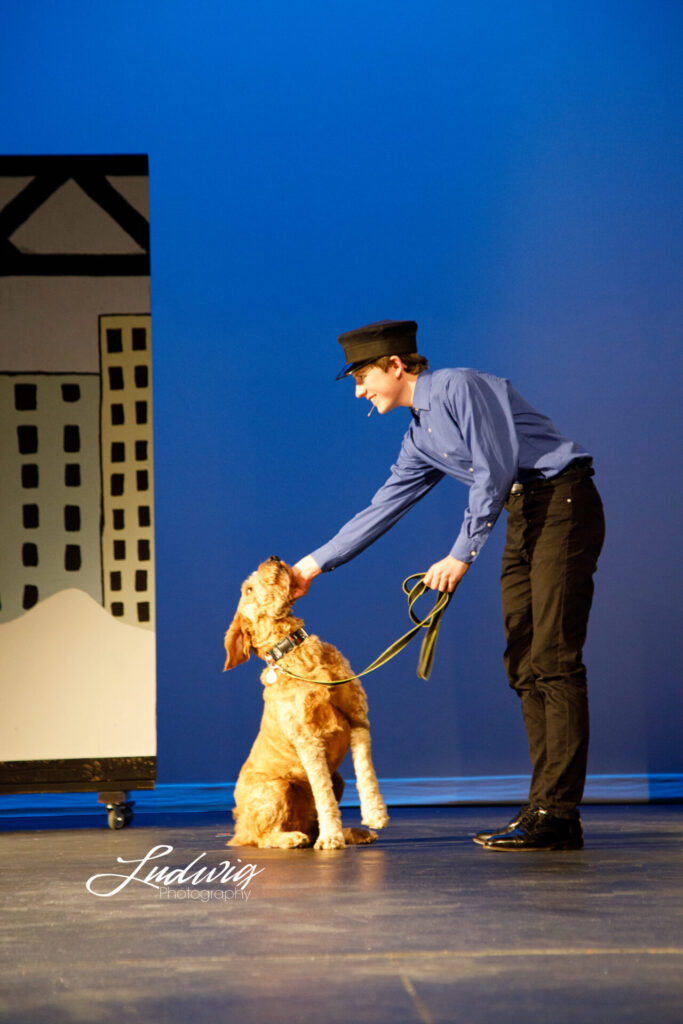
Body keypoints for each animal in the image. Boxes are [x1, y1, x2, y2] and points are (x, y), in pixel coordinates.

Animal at [225, 561, 389, 847]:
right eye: (249, 589)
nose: (272, 557)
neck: (294, 651)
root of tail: (239, 829)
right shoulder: (308, 740)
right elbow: (322, 793)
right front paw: (331, 837)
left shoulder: (358, 718)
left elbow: (365, 772)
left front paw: (374, 814)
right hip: (276, 789)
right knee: (263, 837)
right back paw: (292, 838)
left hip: (338, 778)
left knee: (313, 823)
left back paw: (354, 833)